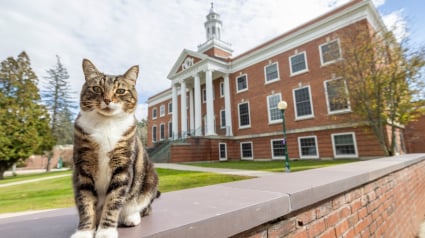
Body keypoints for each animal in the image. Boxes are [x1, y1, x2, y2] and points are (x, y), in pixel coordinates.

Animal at [71, 58, 159, 238]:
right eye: (97, 88)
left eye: (120, 91)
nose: (107, 99)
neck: (106, 124)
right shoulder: (83, 168)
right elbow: (85, 203)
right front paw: (84, 231)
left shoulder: (122, 167)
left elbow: (113, 201)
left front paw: (106, 231)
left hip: (150, 179)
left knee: (144, 206)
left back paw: (131, 217)